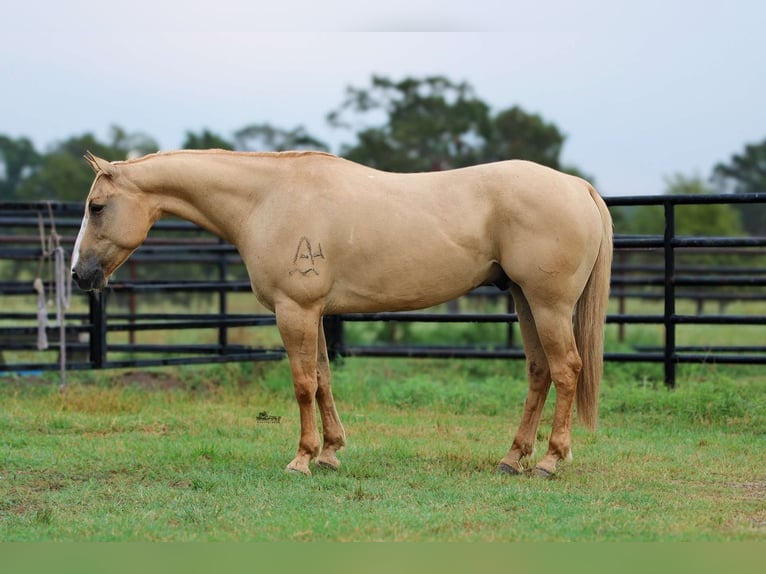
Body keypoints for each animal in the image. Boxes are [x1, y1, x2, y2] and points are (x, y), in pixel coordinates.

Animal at [71, 149, 613, 477]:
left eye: (96, 207)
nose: (79, 275)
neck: (267, 200)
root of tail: (578, 187)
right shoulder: (314, 313)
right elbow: (324, 380)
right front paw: (330, 453)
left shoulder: (294, 310)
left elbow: (302, 384)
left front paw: (302, 458)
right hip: (524, 300)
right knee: (540, 371)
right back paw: (512, 458)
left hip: (548, 305)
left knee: (566, 370)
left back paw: (550, 460)